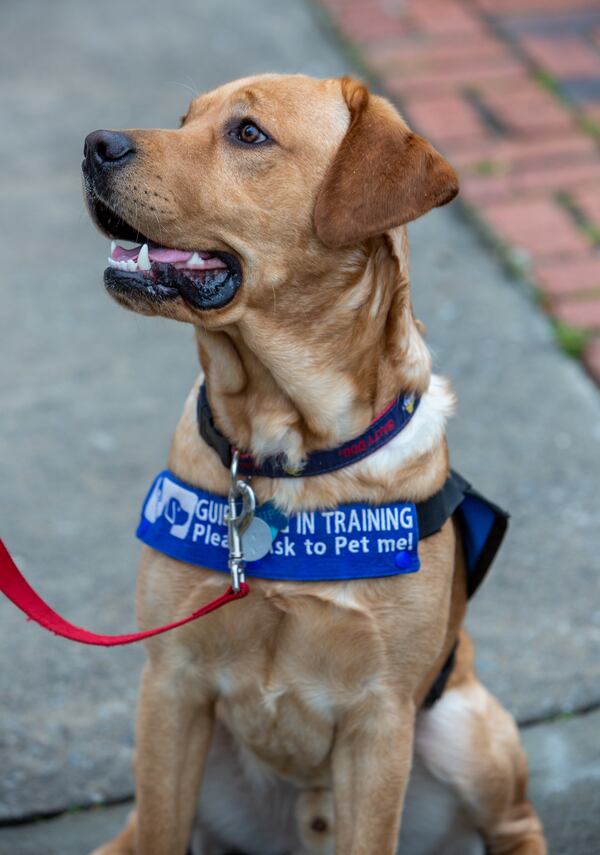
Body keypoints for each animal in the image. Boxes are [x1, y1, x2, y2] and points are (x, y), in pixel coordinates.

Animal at [84, 73, 548, 855]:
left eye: (248, 133)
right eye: (185, 118)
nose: (94, 145)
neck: (286, 451)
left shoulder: (380, 719)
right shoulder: (171, 681)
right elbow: (160, 831)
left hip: (464, 728)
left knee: (518, 820)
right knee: (141, 827)